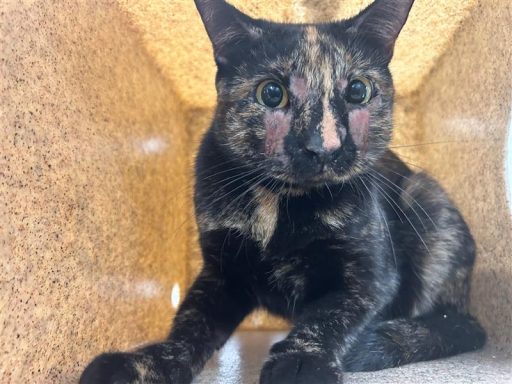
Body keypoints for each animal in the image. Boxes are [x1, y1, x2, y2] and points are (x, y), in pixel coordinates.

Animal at [80, 0, 484, 384]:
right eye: (271, 93)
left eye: (358, 90)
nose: (325, 147)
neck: (280, 201)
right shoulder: (221, 273)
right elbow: (189, 322)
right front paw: (146, 363)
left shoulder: (371, 277)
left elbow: (328, 315)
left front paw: (301, 361)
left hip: (428, 198)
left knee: (458, 324)